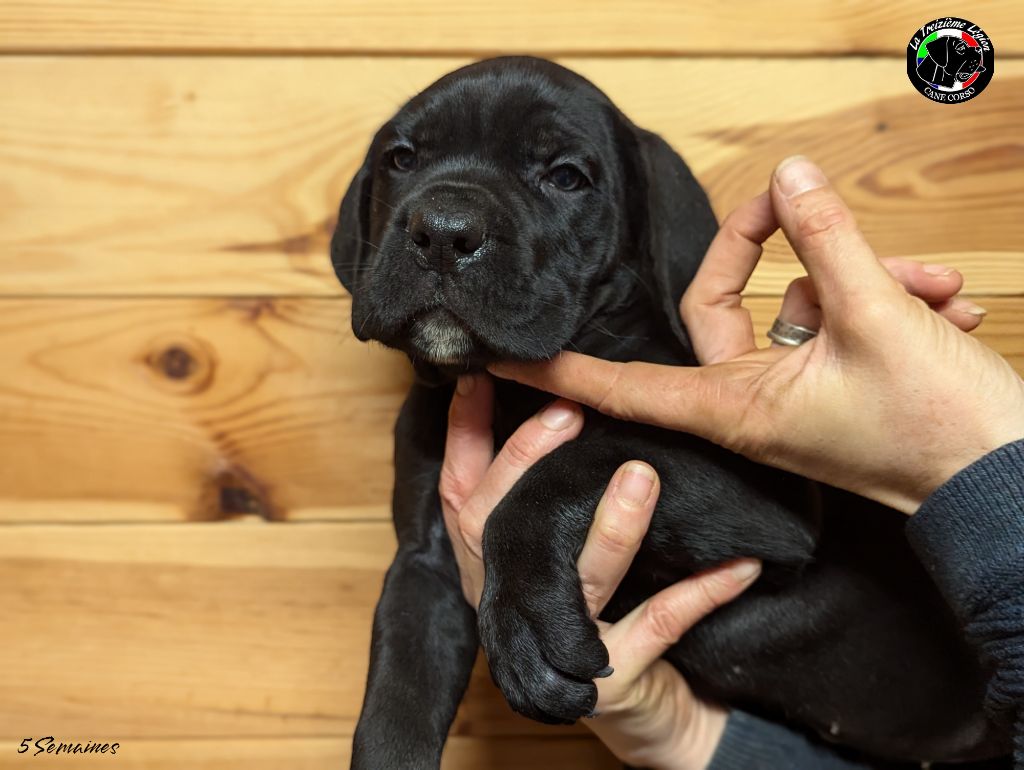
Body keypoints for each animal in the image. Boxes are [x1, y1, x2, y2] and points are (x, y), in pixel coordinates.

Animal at [329, 57, 1007, 765]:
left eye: (566, 177)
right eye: (402, 159)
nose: (442, 230)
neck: (511, 384)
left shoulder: (766, 496)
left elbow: (574, 464)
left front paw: (527, 615)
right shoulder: (425, 563)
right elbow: (396, 706)